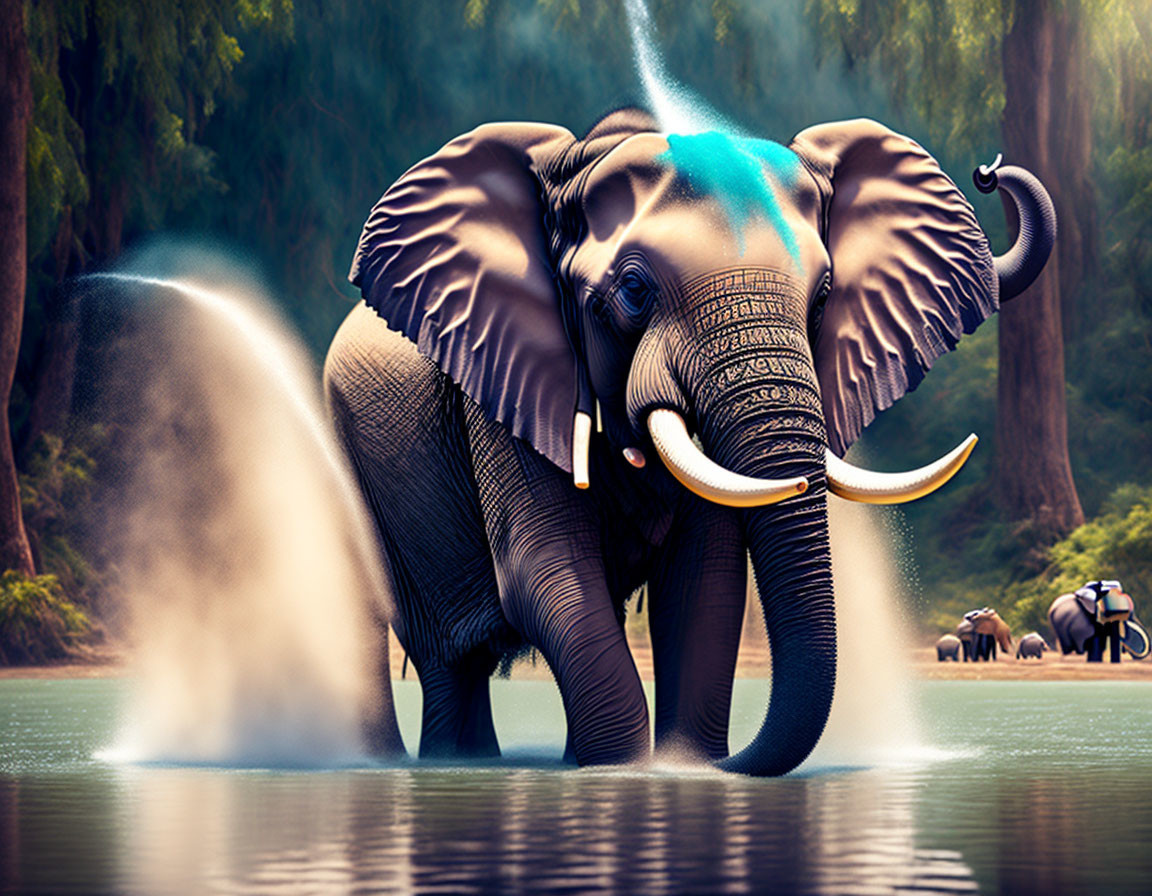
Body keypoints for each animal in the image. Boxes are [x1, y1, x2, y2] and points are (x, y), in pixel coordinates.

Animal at [322, 106, 1055, 773]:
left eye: (822, 296)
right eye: (632, 290)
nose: (988, 170)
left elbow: (705, 578)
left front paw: (685, 768)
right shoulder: (503, 379)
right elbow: (547, 574)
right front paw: (627, 772)